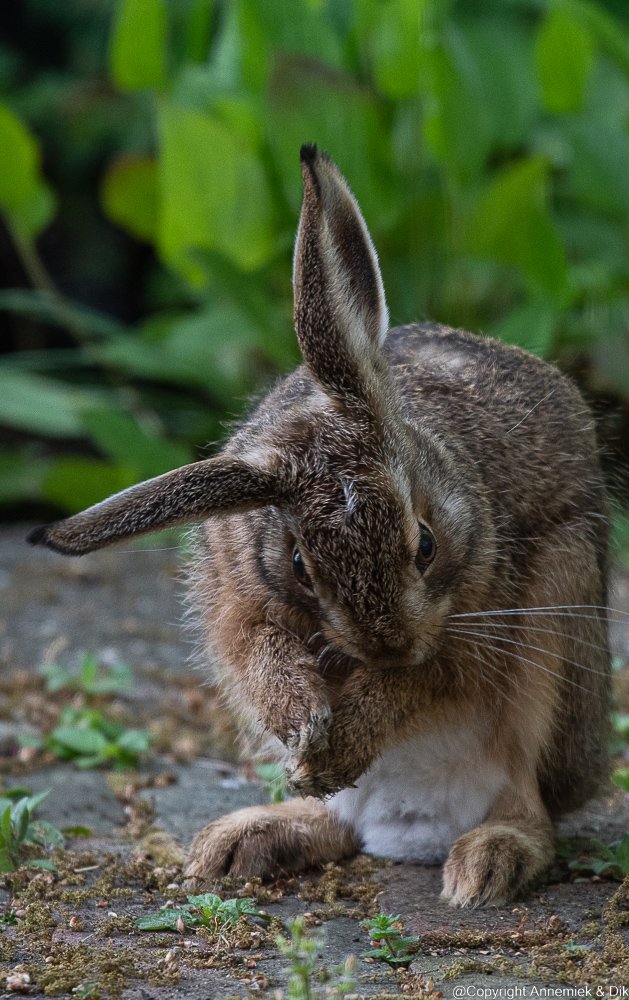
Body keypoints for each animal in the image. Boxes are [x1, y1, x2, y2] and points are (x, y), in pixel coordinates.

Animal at [28, 145, 611, 907]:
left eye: (425, 544)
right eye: (302, 564)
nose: (389, 645)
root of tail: (406, 831)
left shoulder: (476, 617)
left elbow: (425, 682)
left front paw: (340, 739)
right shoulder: (235, 597)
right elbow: (259, 653)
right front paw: (305, 731)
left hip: (560, 626)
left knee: (529, 799)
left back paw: (486, 863)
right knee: (338, 822)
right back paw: (245, 837)